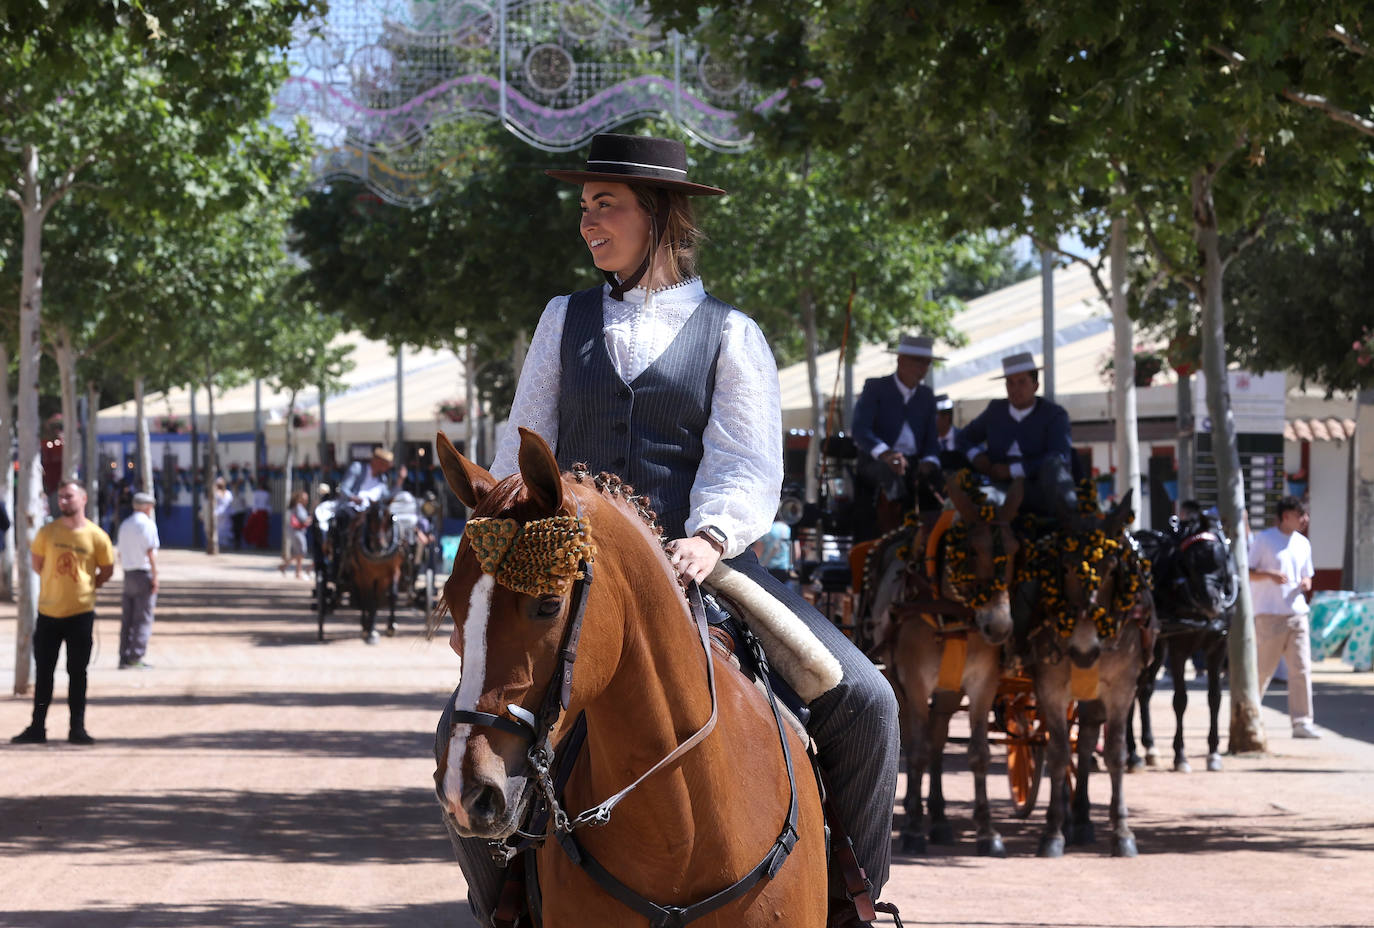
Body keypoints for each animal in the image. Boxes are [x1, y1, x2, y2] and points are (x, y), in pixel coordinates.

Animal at [884, 475, 1027, 857]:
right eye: (972, 551)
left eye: (1014, 549)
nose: (1000, 627)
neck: (953, 614)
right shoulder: (915, 681)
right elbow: (916, 752)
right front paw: (913, 829)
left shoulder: (983, 683)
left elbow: (978, 754)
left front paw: (987, 830)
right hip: (899, 682)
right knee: (917, 742)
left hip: (948, 691)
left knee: (938, 739)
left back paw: (939, 818)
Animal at [1027, 489, 1154, 857]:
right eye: (1067, 566)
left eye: (1112, 569)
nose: (1085, 652)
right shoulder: (1051, 689)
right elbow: (1057, 755)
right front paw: (1052, 831)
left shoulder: (1121, 689)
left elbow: (1114, 753)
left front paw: (1122, 832)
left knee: (1084, 743)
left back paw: (1082, 818)